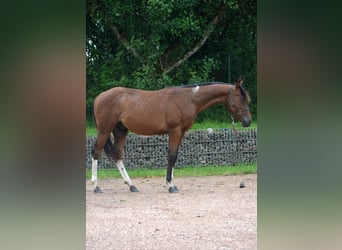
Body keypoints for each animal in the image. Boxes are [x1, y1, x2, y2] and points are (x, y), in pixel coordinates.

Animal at [90, 78, 251, 193]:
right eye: (240, 98)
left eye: (246, 99)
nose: (248, 121)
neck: (189, 99)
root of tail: (99, 97)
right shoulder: (175, 131)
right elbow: (171, 156)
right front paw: (170, 185)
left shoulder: (180, 133)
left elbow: (175, 157)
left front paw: (172, 183)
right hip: (104, 130)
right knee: (96, 153)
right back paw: (96, 186)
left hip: (120, 130)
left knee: (117, 156)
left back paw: (131, 185)